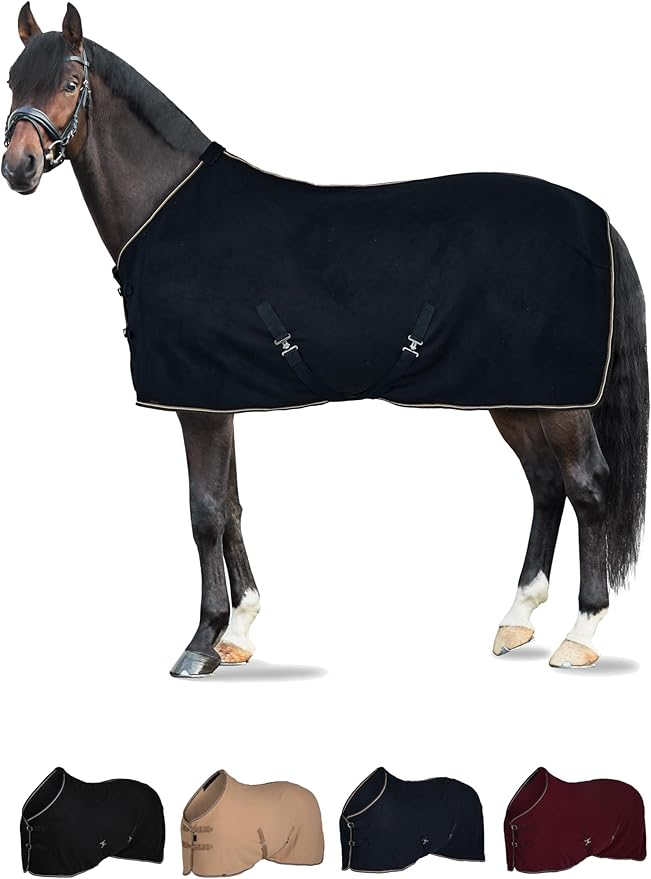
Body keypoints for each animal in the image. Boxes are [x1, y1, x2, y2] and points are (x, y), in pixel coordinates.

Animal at [3, 3, 648, 677]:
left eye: (69, 84)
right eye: (13, 82)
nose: (18, 167)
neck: (168, 209)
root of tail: (599, 219)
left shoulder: (197, 404)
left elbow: (204, 512)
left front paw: (201, 642)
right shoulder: (219, 398)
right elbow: (232, 506)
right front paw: (240, 631)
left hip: (560, 401)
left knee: (588, 487)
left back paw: (581, 635)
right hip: (516, 395)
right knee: (546, 485)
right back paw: (516, 620)